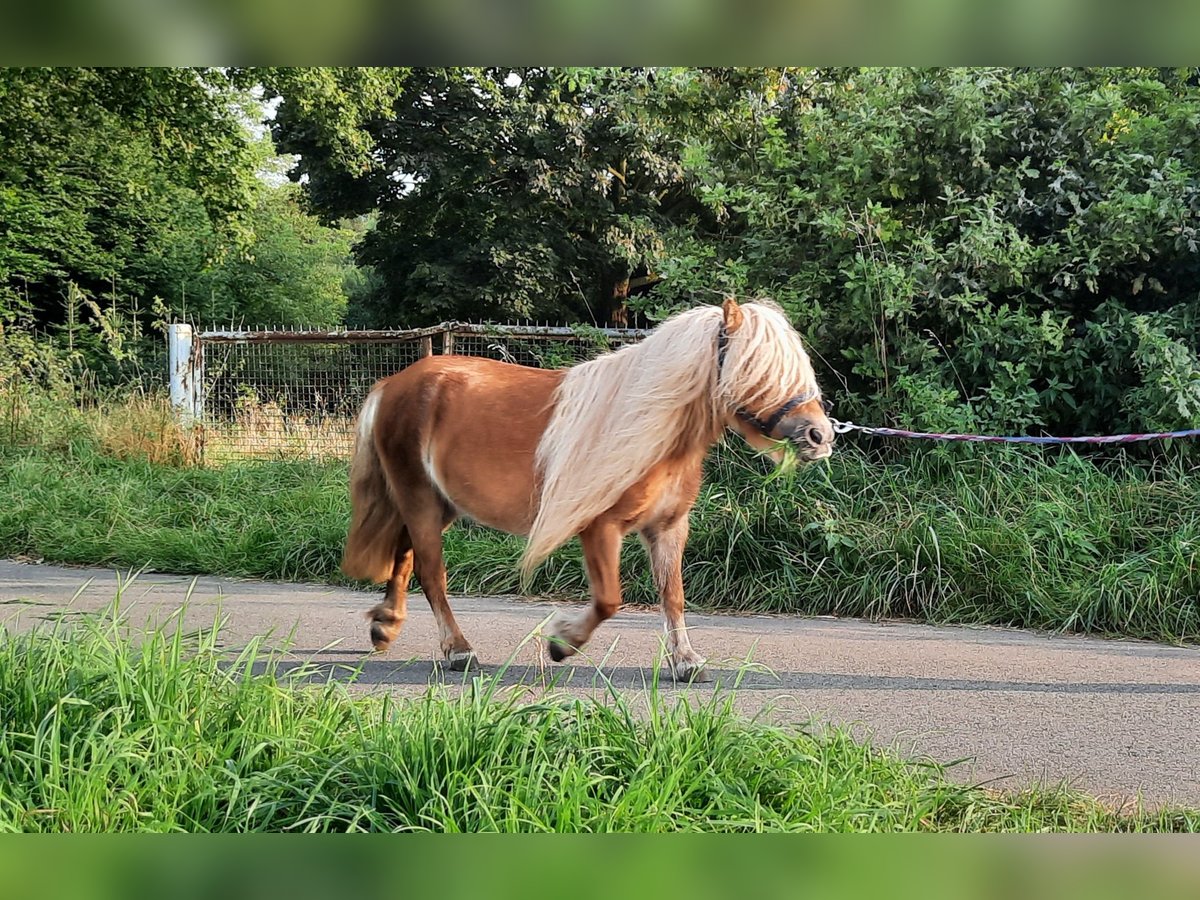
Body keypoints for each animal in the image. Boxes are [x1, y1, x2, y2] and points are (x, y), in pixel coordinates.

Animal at [343, 300, 835, 681]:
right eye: (758, 370)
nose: (820, 436)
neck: (650, 430)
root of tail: (394, 382)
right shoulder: (601, 528)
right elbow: (610, 599)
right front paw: (562, 643)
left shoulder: (668, 528)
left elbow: (672, 594)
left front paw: (685, 662)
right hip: (420, 499)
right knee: (431, 573)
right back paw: (459, 651)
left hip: (439, 504)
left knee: (405, 554)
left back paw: (386, 626)